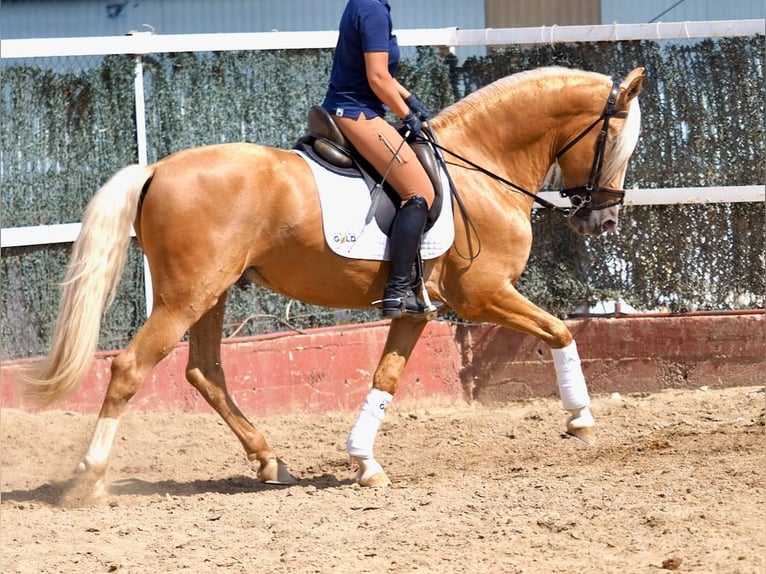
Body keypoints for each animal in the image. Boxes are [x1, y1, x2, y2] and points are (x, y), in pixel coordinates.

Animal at [24, 65, 644, 502]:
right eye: (616, 142)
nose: (604, 221)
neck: (479, 168)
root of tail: (156, 169)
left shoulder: (417, 309)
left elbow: (386, 377)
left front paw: (364, 461)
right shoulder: (484, 294)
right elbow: (561, 330)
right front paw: (581, 420)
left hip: (211, 293)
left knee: (204, 370)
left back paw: (270, 461)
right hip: (187, 295)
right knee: (131, 367)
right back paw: (90, 477)